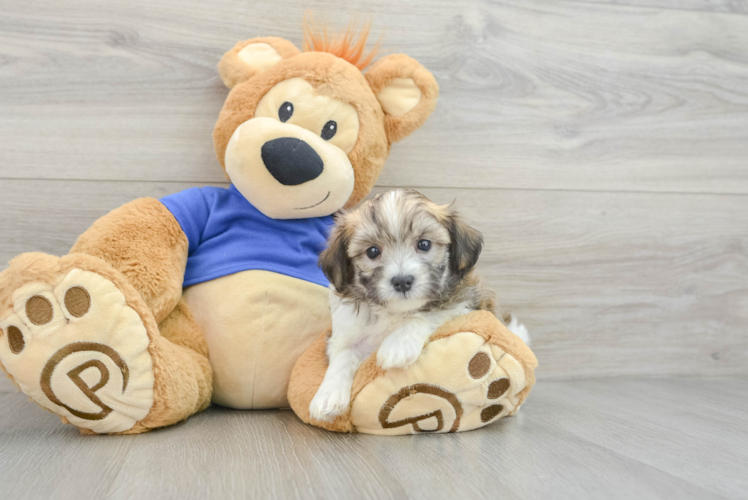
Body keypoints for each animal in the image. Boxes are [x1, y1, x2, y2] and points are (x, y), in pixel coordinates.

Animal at [306, 188, 528, 422]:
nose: (402, 281)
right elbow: (343, 355)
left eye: (424, 244)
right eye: (372, 251)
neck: (395, 311)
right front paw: (327, 396)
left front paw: (398, 345)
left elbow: (427, 315)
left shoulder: (464, 303)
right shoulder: (345, 331)